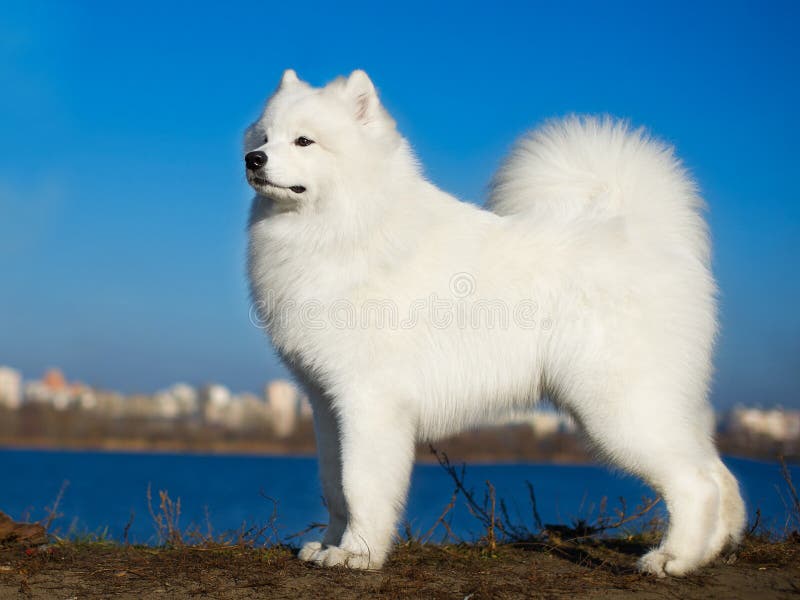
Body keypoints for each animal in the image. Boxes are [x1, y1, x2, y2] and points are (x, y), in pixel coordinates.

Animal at [242, 70, 744, 576]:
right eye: (264, 137)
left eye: (304, 141)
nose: (252, 159)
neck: (347, 227)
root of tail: (648, 234)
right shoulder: (326, 404)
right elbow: (334, 487)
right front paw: (328, 545)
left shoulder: (369, 401)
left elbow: (360, 486)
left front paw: (358, 554)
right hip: (659, 404)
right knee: (721, 475)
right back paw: (709, 551)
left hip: (618, 407)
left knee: (696, 482)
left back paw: (674, 559)